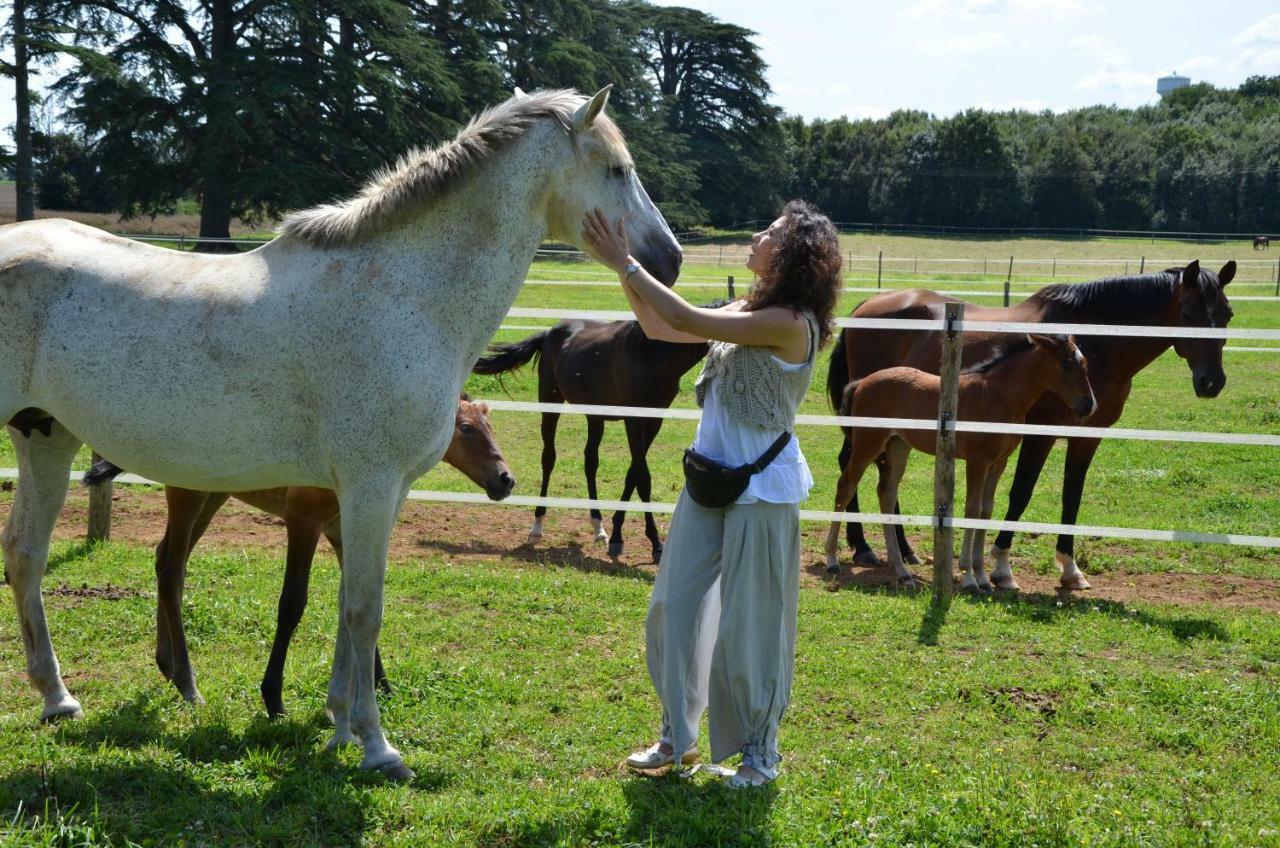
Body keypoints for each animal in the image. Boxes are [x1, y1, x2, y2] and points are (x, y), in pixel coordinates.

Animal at [83, 394, 514, 712]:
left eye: (490, 426)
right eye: (466, 429)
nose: (505, 480)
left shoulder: (340, 532)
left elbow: (357, 602)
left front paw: (383, 685)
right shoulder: (302, 521)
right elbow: (292, 603)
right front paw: (272, 696)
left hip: (212, 496)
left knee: (165, 561)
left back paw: (168, 665)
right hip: (188, 494)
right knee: (172, 570)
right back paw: (188, 684)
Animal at [473, 318, 711, 563]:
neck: (651, 355)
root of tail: (549, 333)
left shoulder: (654, 422)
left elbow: (632, 475)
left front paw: (617, 536)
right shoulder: (634, 421)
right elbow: (643, 480)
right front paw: (655, 543)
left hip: (595, 416)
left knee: (590, 463)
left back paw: (599, 528)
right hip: (551, 404)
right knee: (548, 459)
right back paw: (537, 527)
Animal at [829, 335, 1100, 594]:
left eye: (1086, 364)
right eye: (1066, 364)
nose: (1089, 406)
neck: (998, 396)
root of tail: (860, 383)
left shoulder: (999, 463)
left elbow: (986, 511)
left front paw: (983, 578)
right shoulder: (977, 461)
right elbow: (972, 510)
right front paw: (970, 578)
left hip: (898, 446)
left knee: (886, 492)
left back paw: (903, 572)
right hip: (868, 444)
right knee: (846, 486)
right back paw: (833, 560)